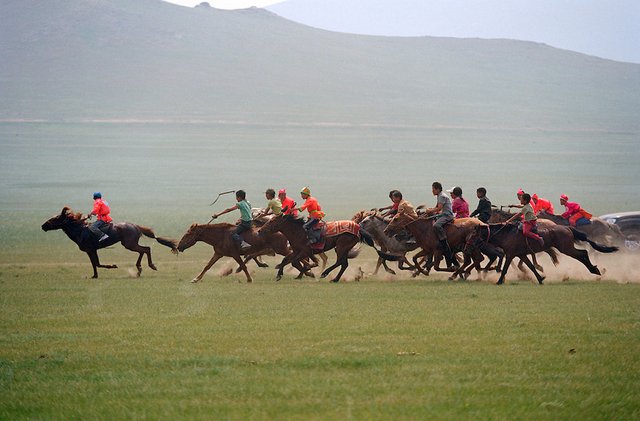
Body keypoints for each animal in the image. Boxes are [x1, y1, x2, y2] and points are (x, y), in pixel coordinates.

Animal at [41, 206, 178, 278]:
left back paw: (150, 266)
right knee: (143, 250)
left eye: (55, 218)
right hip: (130, 244)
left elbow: (96, 264)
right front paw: (95, 276)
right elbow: (95, 264)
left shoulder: (90, 250)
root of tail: (136, 226)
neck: (80, 230)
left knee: (146, 249)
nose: (43, 226)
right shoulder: (92, 250)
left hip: (129, 244)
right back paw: (139, 269)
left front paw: (113, 266)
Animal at [472, 221, 616, 284]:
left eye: (474, 234)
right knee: (583, 253)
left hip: (566, 248)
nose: (469, 243)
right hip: (566, 248)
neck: (507, 234)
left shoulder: (510, 254)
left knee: (583, 253)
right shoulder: (521, 255)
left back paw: (595, 270)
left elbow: (505, 268)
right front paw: (540, 278)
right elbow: (530, 266)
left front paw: (499, 281)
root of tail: (567, 228)